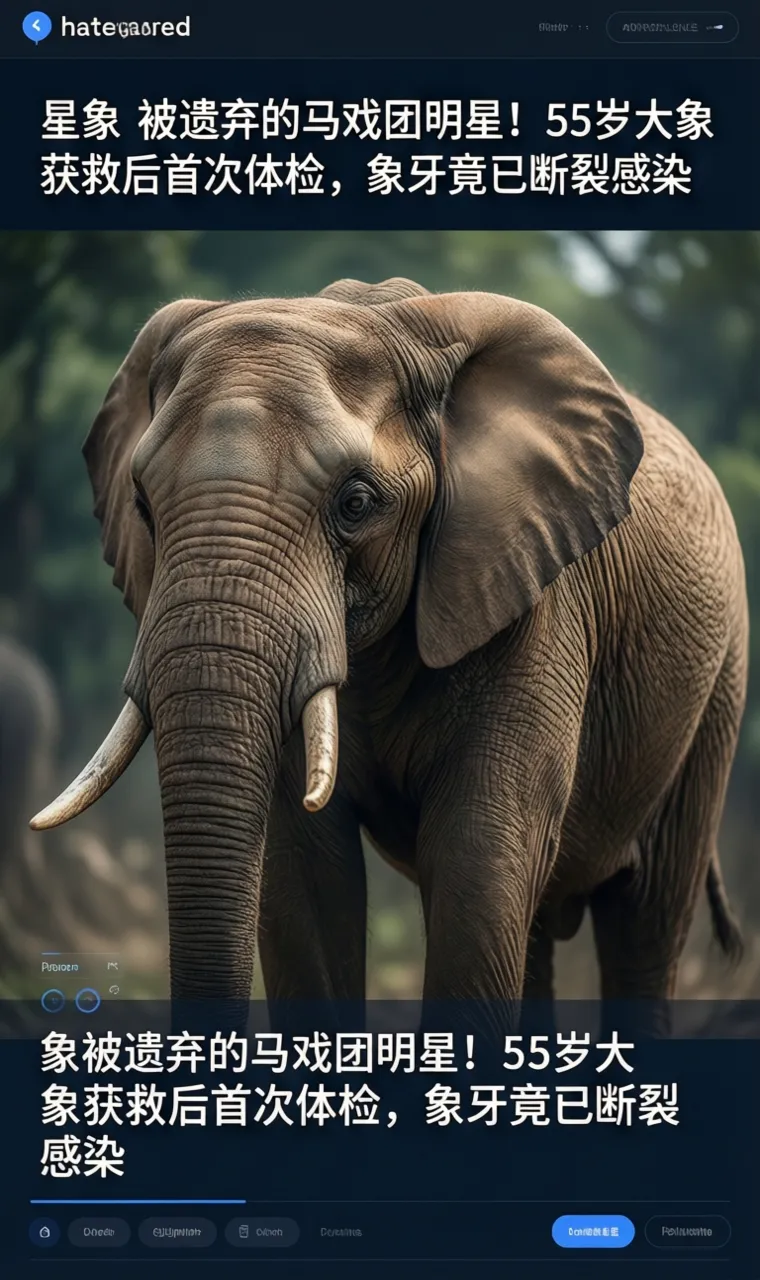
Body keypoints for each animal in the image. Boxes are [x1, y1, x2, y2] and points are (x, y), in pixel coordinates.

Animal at [30, 278, 748, 1027]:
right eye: (141, 505)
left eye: (356, 503)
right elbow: (306, 875)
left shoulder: (536, 605)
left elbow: (478, 860)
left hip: (716, 694)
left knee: (645, 924)